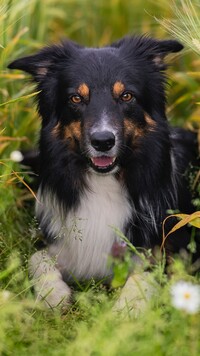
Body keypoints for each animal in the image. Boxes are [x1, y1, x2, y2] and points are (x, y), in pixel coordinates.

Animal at [8, 36, 200, 308]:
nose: (102, 141)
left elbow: (148, 273)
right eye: (76, 98)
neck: (106, 182)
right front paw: (53, 294)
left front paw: (127, 308)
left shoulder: (177, 246)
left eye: (127, 96)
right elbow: (37, 257)